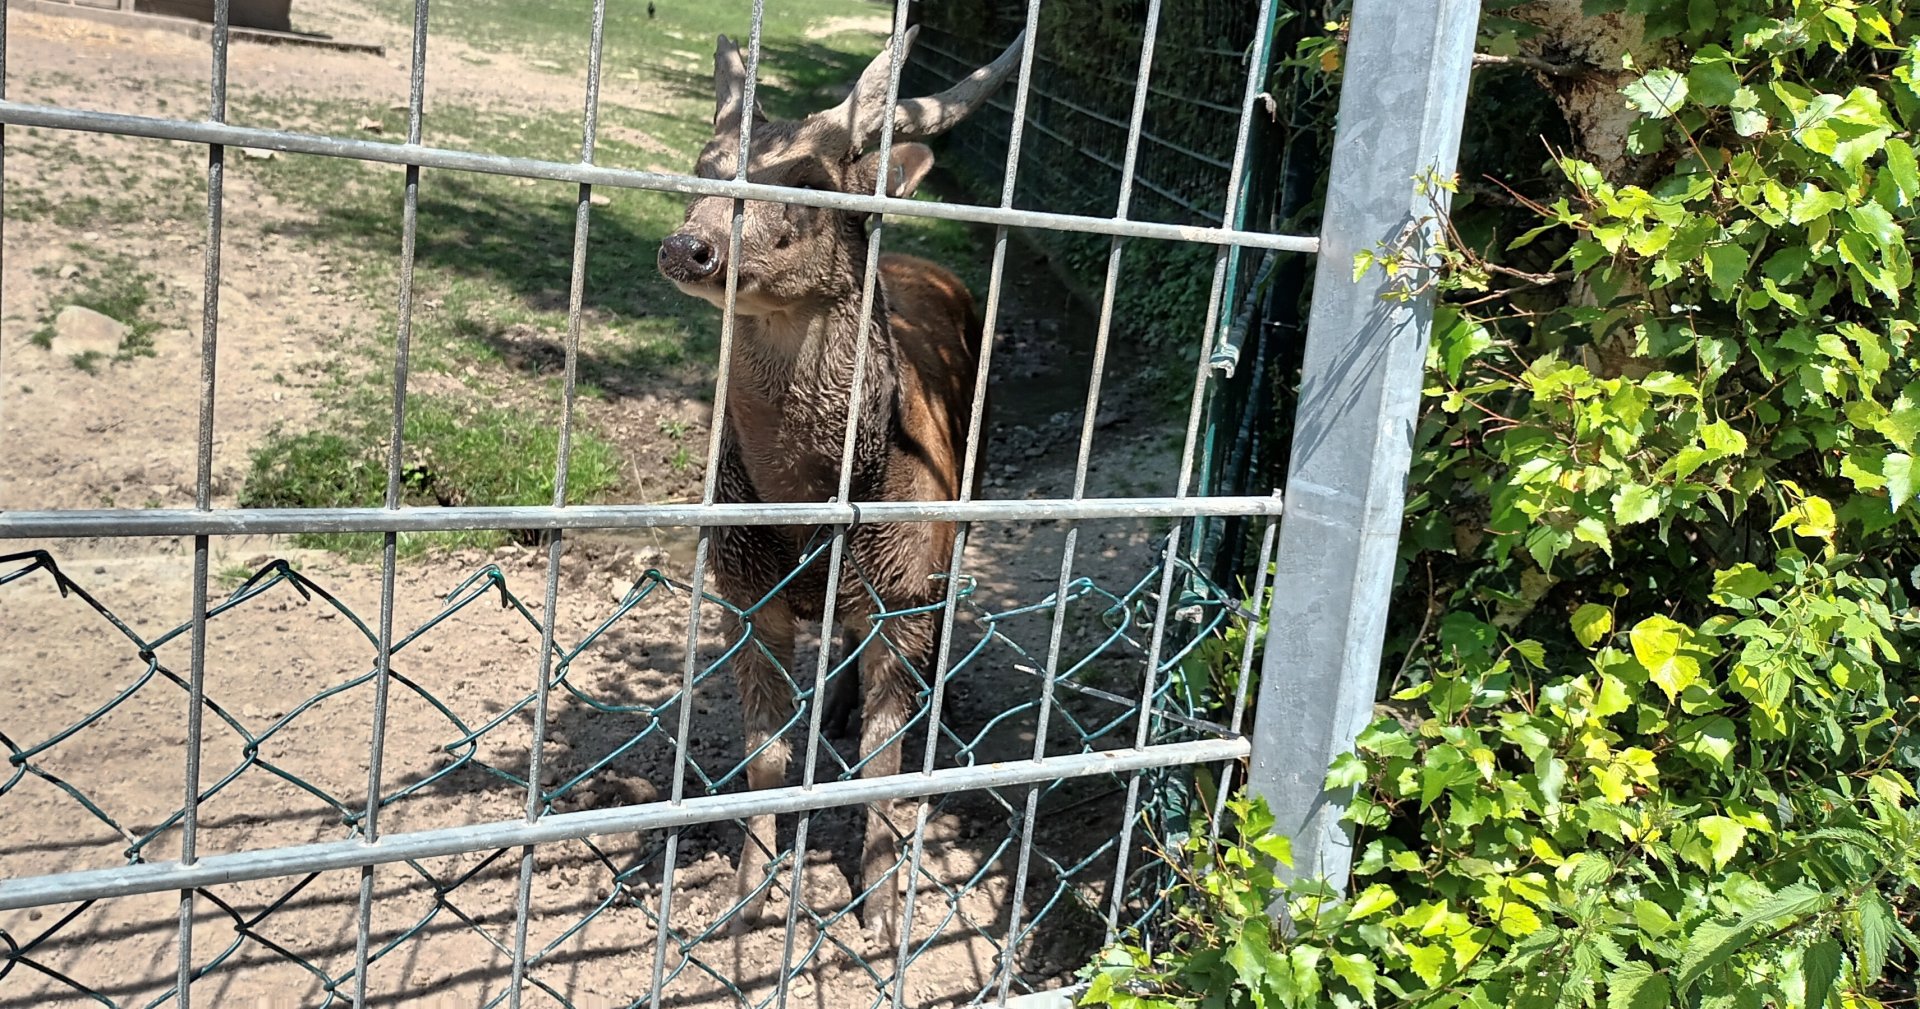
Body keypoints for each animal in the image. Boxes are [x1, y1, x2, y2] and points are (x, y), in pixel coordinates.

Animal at [655, 28, 1024, 944]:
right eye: (704, 167)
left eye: (811, 182)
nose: (689, 246)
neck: (811, 510)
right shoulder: (741, 582)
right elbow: (766, 755)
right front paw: (744, 897)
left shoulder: (905, 580)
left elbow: (882, 763)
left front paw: (884, 908)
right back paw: (835, 703)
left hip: (966, 494)